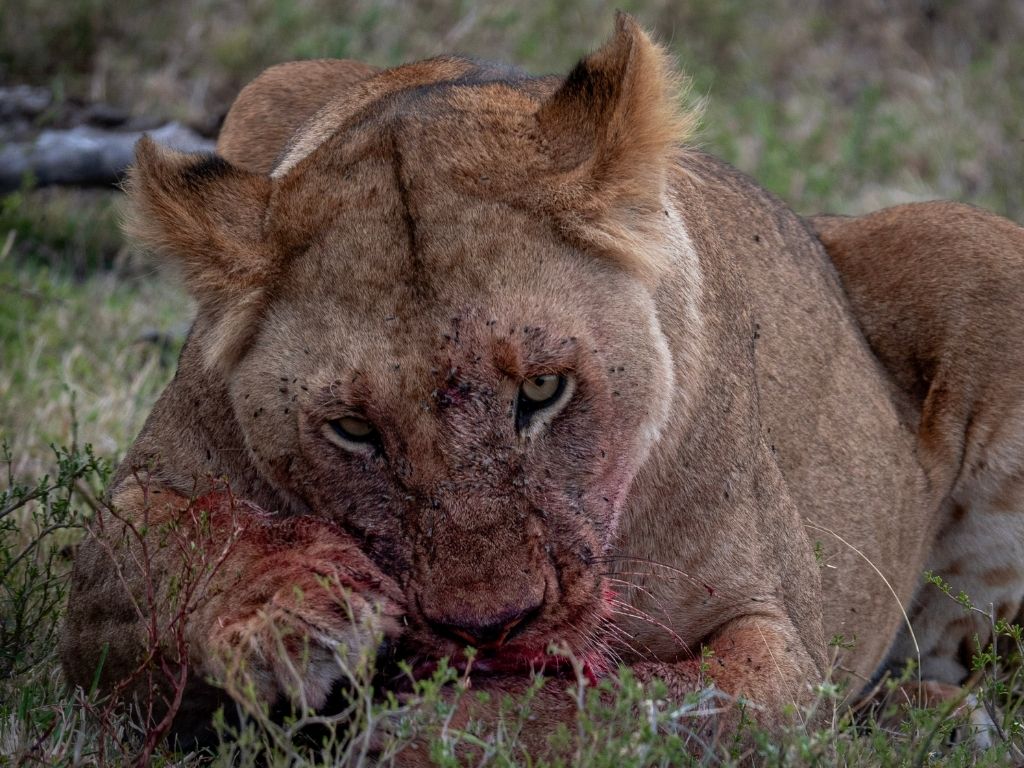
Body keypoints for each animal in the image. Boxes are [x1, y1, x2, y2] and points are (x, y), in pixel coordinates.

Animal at [60, 12, 1024, 758]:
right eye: (353, 430)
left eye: (545, 389)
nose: (487, 626)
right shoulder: (124, 538)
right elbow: (177, 548)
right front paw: (291, 613)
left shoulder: (782, 642)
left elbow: (654, 703)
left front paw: (435, 733)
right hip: (270, 81)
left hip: (984, 249)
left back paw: (943, 721)